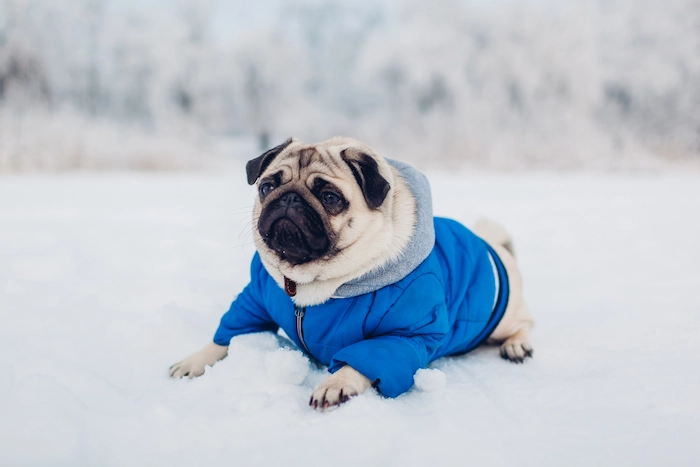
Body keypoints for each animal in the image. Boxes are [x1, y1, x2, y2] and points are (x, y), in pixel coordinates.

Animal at [171, 137, 536, 412]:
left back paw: (517, 346)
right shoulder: (254, 299)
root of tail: (492, 244)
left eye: (330, 197)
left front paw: (337, 383)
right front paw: (196, 361)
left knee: (524, 324)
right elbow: (229, 333)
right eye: (267, 187)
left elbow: (362, 359)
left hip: (502, 316)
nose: (288, 199)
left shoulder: (403, 334)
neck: (307, 282)